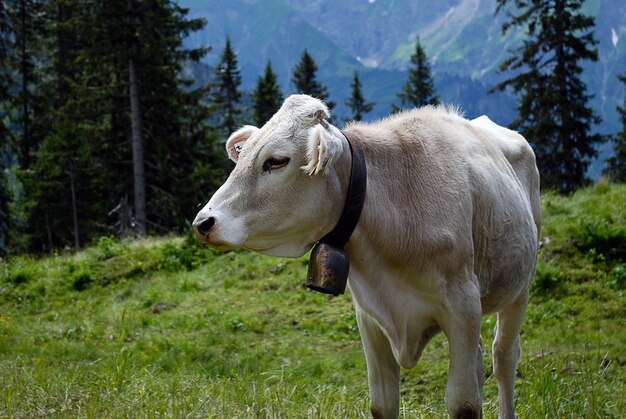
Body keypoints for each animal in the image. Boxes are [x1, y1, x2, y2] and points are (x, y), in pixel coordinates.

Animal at [193, 95, 540, 419]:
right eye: (243, 155)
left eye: (276, 160)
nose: (203, 223)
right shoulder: (370, 315)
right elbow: (382, 404)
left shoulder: (462, 304)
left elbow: (464, 403)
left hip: (521, 286)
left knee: (503, 357)